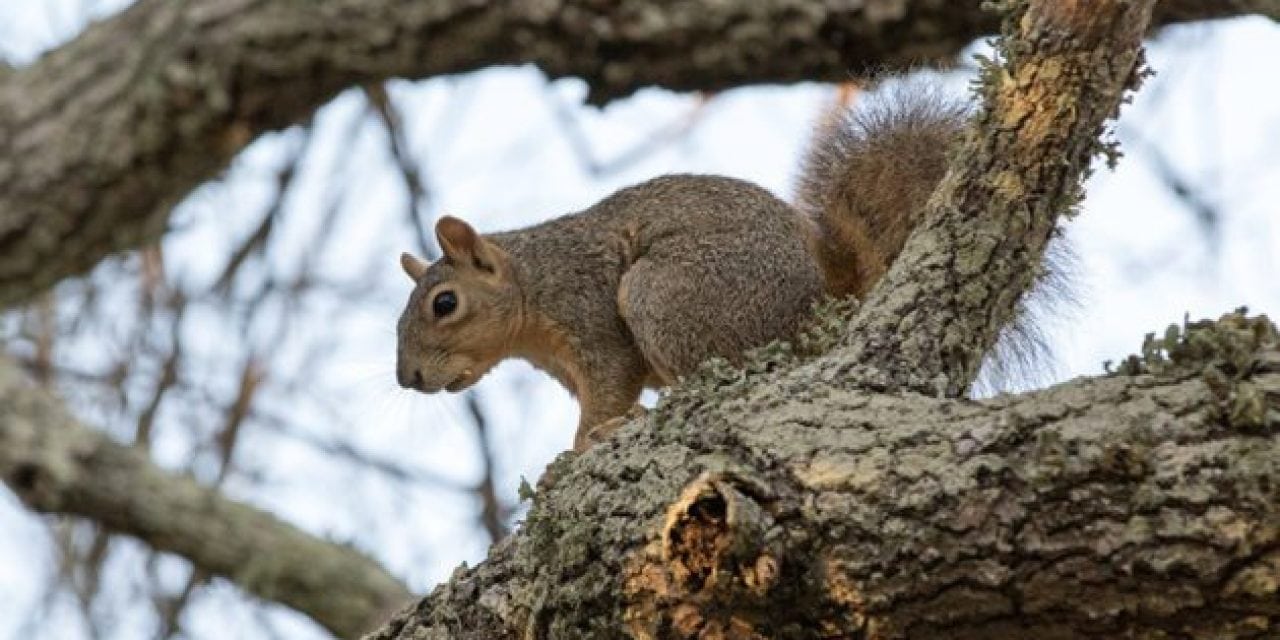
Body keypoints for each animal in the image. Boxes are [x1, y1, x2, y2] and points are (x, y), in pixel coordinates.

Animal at [396, 83, 1049, 450]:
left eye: (444, 304)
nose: (409, 380)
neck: (532, 287)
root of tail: (826, 304)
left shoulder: (589, 317)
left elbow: (610, 386)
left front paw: (579, 448)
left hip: (663, 293)